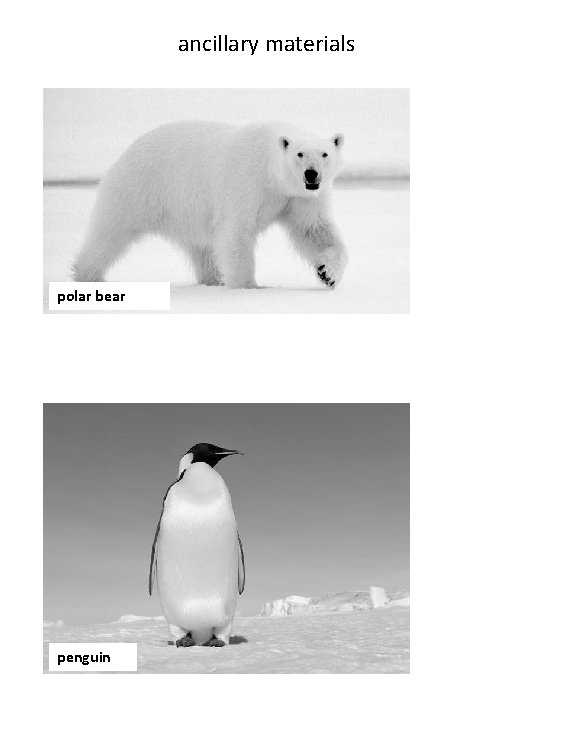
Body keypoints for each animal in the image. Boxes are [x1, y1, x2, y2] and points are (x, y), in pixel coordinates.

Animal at [71, 121, 348, 289]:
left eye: (324, 153)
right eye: (299, 154)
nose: (311, 174)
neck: (270, 171)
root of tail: (129, 149)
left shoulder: (300, 197)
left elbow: (314, 230)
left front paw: (328, 273)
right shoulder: (245, 183)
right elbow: (235, 233)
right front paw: (248, 286)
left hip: (187, 213)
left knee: (203, 249)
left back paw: (213, 279)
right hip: (138, 188)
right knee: (109, 233)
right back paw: (87, 275)